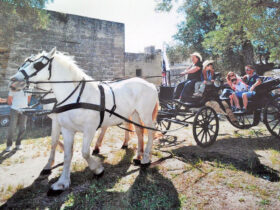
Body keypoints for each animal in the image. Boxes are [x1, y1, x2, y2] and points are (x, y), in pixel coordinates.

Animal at [9, 48, 159, 193]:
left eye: (38, 64)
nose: (13, 81)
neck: (76, 96)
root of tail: (150, 84)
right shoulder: (66, 128)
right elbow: (65, 152)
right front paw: (62, 182)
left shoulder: (89, 129)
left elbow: (84, 152)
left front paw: (97, 169)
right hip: (134, 113)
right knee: (139, 131)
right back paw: (139, 155)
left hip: (145, 114)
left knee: (151, 131)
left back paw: (146, 158)